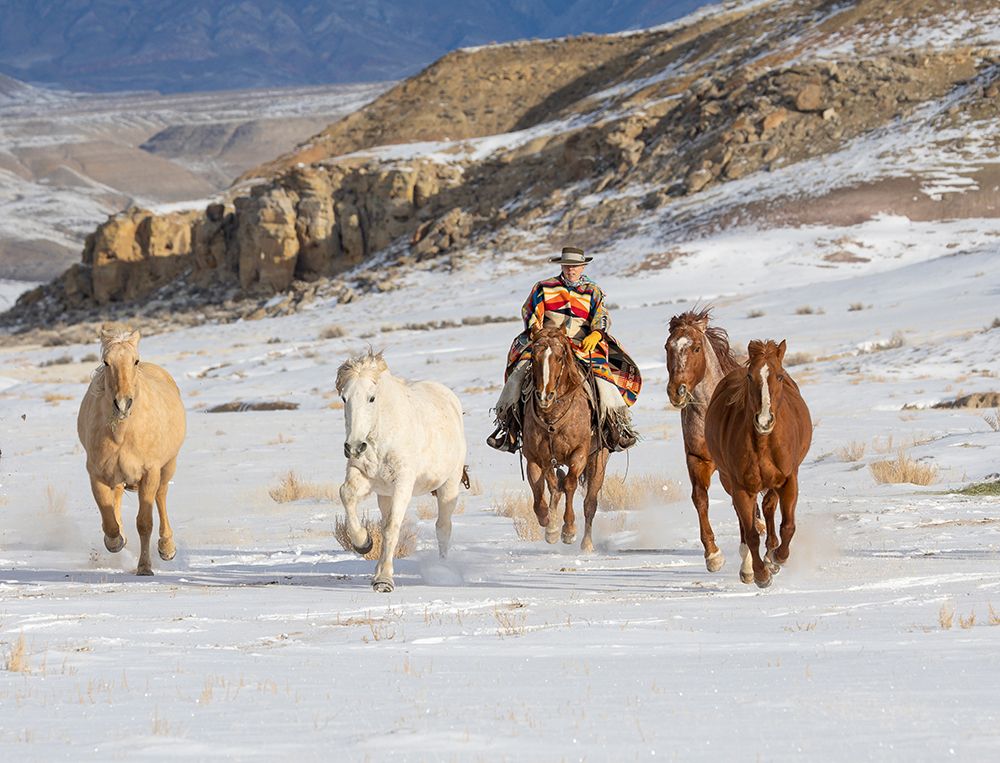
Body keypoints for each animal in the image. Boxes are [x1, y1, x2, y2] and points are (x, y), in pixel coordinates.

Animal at [77, 326, 186, 575]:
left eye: (135, 360)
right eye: (106, 362)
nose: (123, 404)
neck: (123, 432)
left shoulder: (149, 473)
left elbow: (144, 522)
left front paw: (145, 567)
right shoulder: (97, 474)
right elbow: (107, 515)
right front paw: (115, 540)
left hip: (168, 466)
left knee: (161, 496)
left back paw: (167, 547)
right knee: (117, 495)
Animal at [335, 350, 468, 593]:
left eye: (371, 398)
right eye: (344, 398)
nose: (354, 447)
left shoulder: (403, 484)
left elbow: (391, 528)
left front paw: (384, 581)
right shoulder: (363, 476)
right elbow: (346, 494)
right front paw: (363, 543)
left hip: (449, 485)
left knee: (443, 527)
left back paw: (443, 571)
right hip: (384, 495)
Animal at [522, 326, 609, 553]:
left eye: (560, 357)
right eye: (533, 357)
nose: (544, 396)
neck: (552, 417)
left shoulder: (579, 453)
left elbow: (569, 484)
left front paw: (568, 530)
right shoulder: (536, 458)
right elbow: (543, 493)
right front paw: (550, 526)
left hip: (599, 459)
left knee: (590, 503)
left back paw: (587, 543)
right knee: (555, 488)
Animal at [665, 308, 742, 572]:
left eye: (696, 348)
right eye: (668, 347)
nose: (676, 391)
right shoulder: (697, 459)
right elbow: (700, 499)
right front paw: (713, 556)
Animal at [704, 339, 812, 588]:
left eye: (779, 376)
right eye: (750, 376)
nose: (764, 421)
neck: (763, 443)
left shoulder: (788, 480)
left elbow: (788, 525)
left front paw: (778, 557)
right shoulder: (741, 487)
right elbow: (752, 533)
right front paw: (761, 574)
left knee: (769, 508)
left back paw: (771, 555)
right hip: (729, 481)